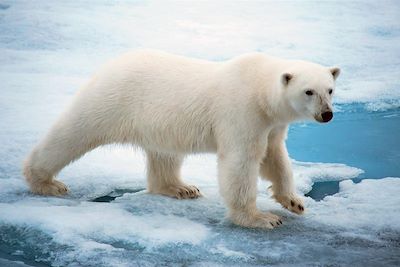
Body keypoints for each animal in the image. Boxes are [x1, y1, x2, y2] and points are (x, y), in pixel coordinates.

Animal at [23, 50, 340, 230]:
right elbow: (241, 162)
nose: (327, 114)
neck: (260, 90)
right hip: (112, 100)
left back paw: (180, 188)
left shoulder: (271, 123)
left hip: (157, 122)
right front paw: (261, 218)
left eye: (330, 89)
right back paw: (45, 181)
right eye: (308, 91)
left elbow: (274, 158)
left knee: (164, 155)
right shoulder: (242, 112)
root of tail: (110, 64)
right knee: (73, 133)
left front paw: (294, 202)